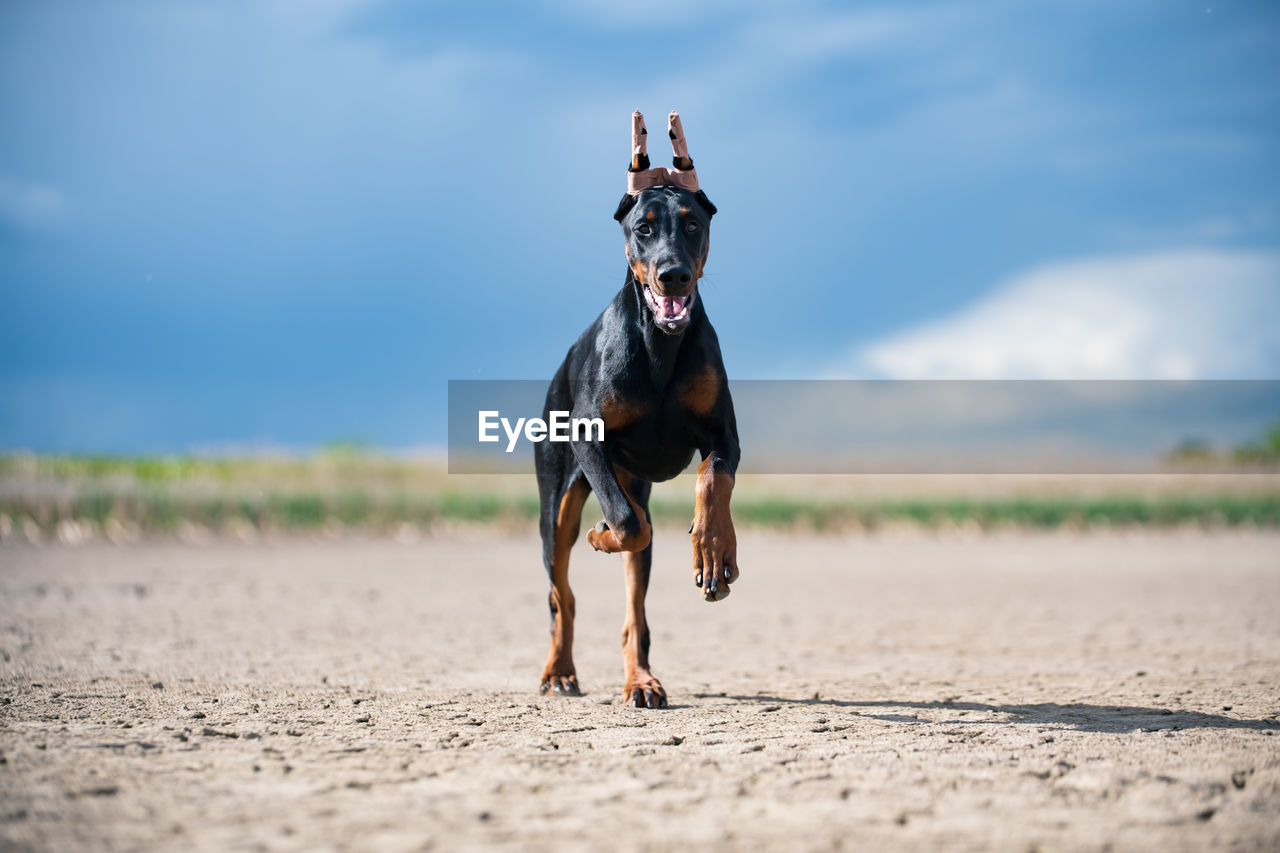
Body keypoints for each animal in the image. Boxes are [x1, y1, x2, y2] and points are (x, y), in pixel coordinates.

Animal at [535, 114, 747, 712]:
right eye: (644, 229)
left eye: (692, 224)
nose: (673, 275)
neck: (659, 344)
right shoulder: (588, 438)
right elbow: (628, 524)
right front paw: (601, 534)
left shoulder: (724, 434)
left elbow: (713, 481)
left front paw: (714, 553)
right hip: (555, 504)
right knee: (564, 592)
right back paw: (560, 671)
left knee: (636, 608)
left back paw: (641, 681)